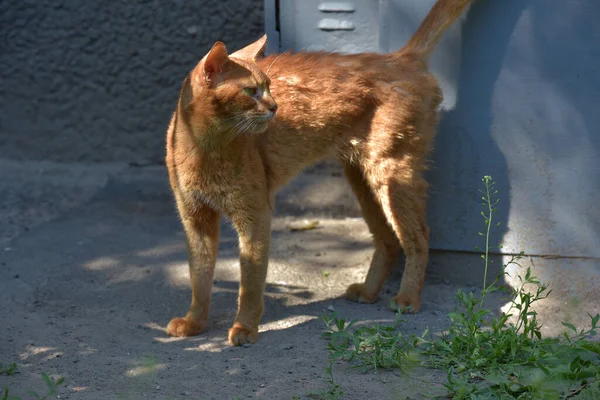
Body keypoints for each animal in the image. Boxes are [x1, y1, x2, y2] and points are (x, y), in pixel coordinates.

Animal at [166, 0, 476, 344]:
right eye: (250, 91)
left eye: (269, 87)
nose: (275, 107)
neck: (204, 148)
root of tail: (400, 57)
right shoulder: (195, 219)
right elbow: (199, 277)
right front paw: (194, 323)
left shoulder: (255, 215)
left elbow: (250, 282)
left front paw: (245, 328)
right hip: (363, 180)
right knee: (387, 239)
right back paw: (369, 292)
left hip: (392, 173)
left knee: (419, 235)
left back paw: (408, 298)